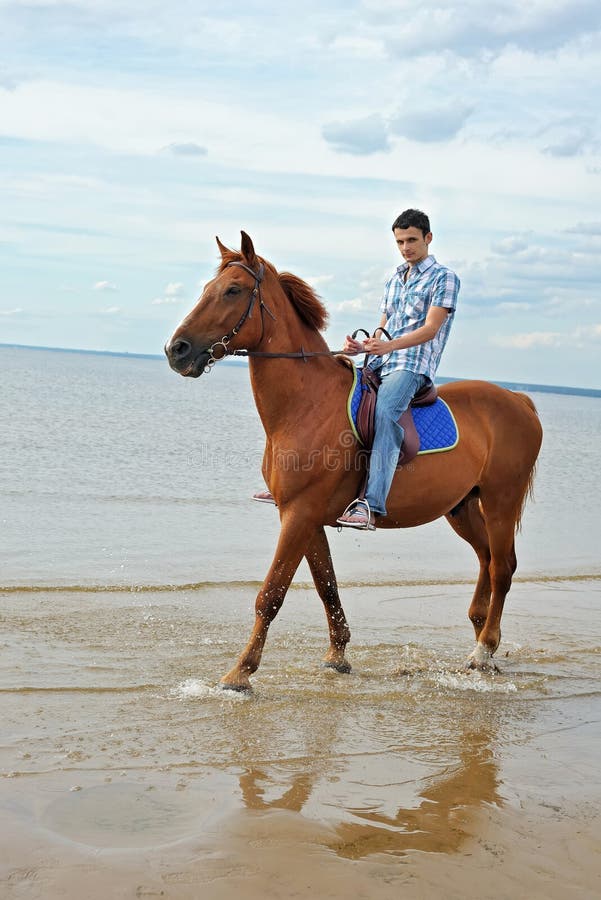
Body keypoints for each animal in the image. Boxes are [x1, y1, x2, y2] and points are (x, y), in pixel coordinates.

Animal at [165, 232, 543, 692]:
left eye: (232, 291)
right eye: (208, 288)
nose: (177, 350)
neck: (308, 404)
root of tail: (519, 400)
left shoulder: (300, 514)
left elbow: (271, 594)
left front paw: (240, 673)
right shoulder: (304, 517)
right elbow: (327, 587)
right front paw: (337, 656)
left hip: (501, 501)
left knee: (503, 567)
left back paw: (484, 649)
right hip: (462, 506)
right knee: (487, 560)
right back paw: (481, 640)